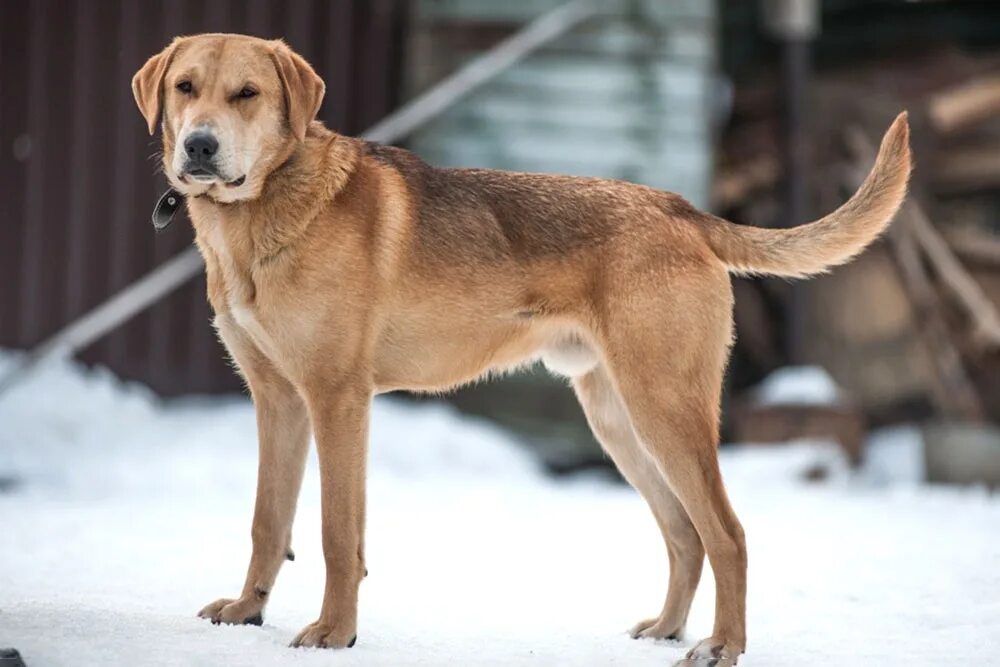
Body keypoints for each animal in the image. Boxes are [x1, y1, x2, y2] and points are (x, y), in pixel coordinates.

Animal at [135, 34, 916, 664]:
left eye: (248, 94)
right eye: (185, 88)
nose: (198, 146)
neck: (261, 213)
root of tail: (683, 211)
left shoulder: (337, 401)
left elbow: (336, 534)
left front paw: (334, 633)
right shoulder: (278, 401)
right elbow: (268, 520)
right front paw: (248, 612)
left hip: (665, 407)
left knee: (727, 533)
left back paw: (722, 645)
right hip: (619, 419)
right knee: (684, 533)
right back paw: (667, 629)